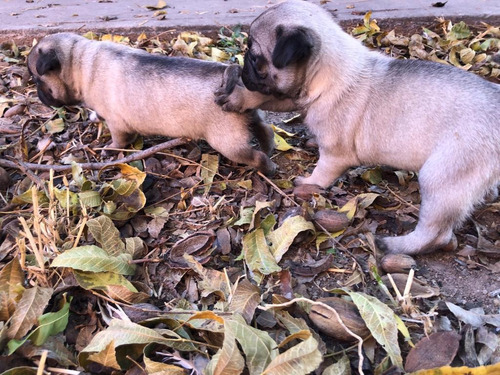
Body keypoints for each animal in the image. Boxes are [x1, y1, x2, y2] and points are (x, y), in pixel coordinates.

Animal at [26, 32, 278, 176]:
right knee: (264, 130)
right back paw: (268, 149)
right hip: (251, 115)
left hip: (228, 143)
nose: (39, 95)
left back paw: (267, 169)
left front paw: (110, 148)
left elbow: (119, 141)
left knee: (253, 156)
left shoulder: (117, 124)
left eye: (38, 80)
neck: (80, 61)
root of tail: (236, 83)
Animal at [217, 0, 500, 256]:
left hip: (441, 178)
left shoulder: (335, 153)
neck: (329, 72)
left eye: (256, 59)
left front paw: (308, 183)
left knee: (436, 233)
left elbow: (322, 173)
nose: (242, 68)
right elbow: (264, 97)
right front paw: (239, 97)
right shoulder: (291, 96)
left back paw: (396, 246)